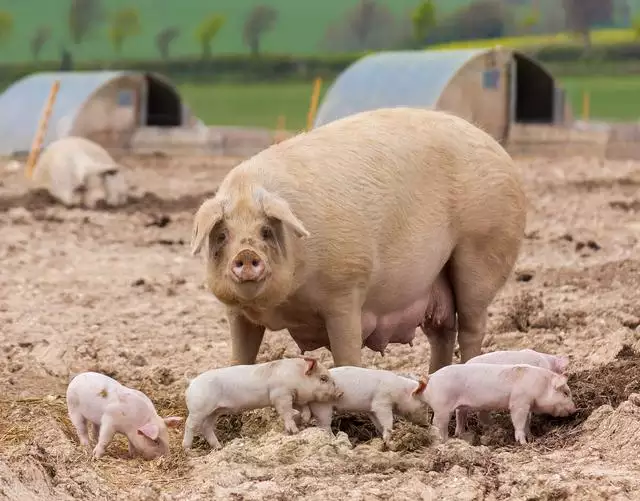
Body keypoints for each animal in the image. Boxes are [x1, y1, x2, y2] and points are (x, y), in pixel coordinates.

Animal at [182, 356, 342, 450]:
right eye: (323, 378)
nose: (340, 393)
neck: (296, 375)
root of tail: (192, 381)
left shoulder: (294, 396)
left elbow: (304, 408)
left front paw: (304, 420)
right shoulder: (280, 395)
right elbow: (286, 412)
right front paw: (294, 431)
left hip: (214, 411)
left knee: (206, 427)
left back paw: (219, 447)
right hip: (198, 409)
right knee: (190, 424)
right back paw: (188, 449)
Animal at [190, 106, 524, 372]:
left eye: (266, 231)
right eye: (222, 235)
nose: (246, 254)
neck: (284, 303)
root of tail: (501, 151)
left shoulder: (346, 289)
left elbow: (347, 354)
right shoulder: (236, 311)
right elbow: (240, 358)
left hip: (483, 249)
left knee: (471, 325)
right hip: (435, 281)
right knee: (443, 331)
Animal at [428, 362, 576, 444]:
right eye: (565, 393)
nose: (575, 409)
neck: (541, 385)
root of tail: (431, 377)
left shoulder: (527, 405)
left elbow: (527, 423)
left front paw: (532, 438)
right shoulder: (518, 402)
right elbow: (518, 421)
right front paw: (523, 443)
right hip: (442, 408)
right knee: (438, 424)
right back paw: (445, 442)